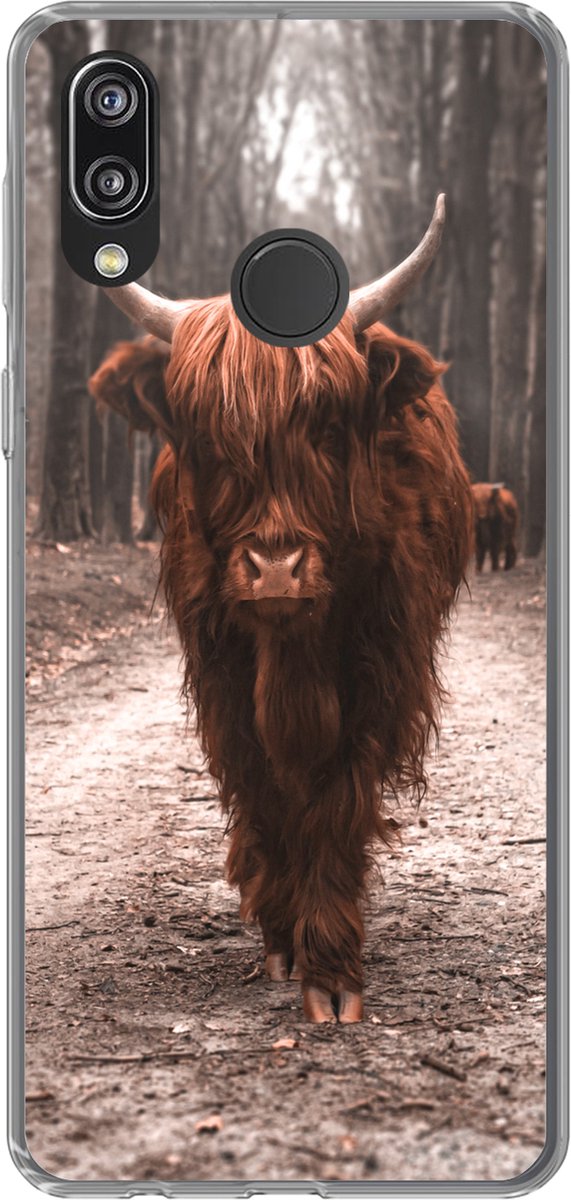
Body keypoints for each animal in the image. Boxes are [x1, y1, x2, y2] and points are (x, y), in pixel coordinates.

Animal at [89, 196, 474, 1024]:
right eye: (207, 436)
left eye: (326, 427)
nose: (273, 569)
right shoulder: (221, 675)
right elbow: (263, 790)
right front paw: (280, 935)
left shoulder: (379, 671)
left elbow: (334, 801)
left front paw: (329, 970)